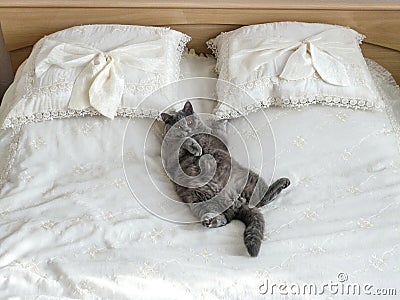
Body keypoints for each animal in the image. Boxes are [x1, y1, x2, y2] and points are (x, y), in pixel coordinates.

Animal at [161, 102, 290, 256]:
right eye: (178, 127)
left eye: (190, 121)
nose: (187, 129)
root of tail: (237, 202)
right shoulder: (170, 155)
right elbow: (180, 141)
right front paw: (194, 145)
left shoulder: (218, 139)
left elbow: (218, 131)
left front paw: (222, 120)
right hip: (196, 200)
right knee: (227, 217)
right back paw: (210, 220)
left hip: (249, 178)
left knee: (261, 199)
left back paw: (283, 183)